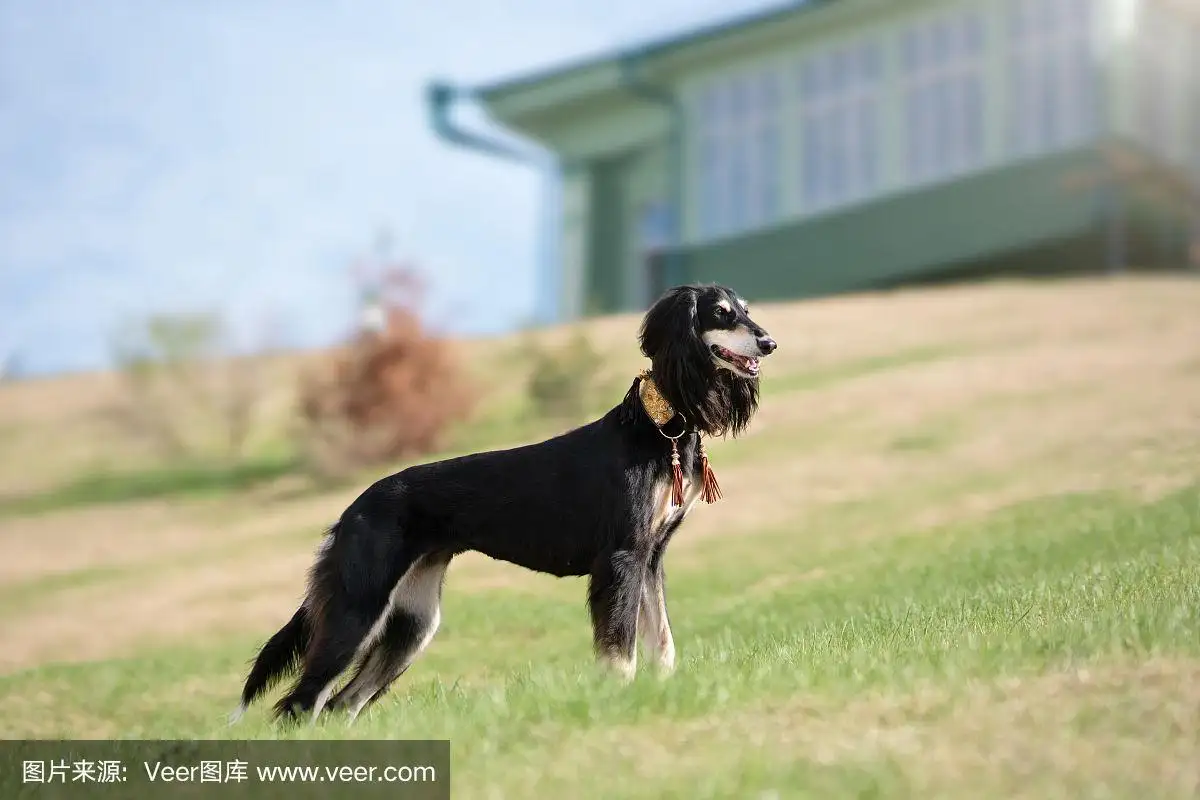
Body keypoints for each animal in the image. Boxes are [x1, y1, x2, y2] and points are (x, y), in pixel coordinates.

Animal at [234, 283, 777, 724]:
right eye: (722, 313)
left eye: (747, 311)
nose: (769, 342)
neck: (657, 425)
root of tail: (350, 512)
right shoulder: (621, 558)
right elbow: (621, 652)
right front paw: (619, 703)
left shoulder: (650, 557)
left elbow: (662, 642)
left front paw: (662, 696)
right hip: (358, 606)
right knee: (303, 701)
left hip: (412, 622)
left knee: (342, 703)